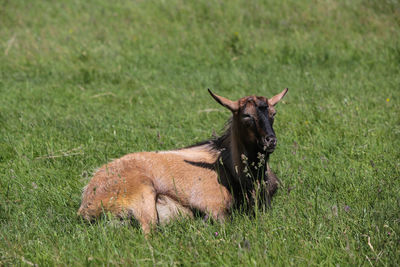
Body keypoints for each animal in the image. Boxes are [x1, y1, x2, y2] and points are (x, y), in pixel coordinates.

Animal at [77, 88, 288, 234]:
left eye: (273, 113)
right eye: (247, 116)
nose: (270, 140)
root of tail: (87, 201)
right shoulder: (214, 206)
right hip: (143, 193)